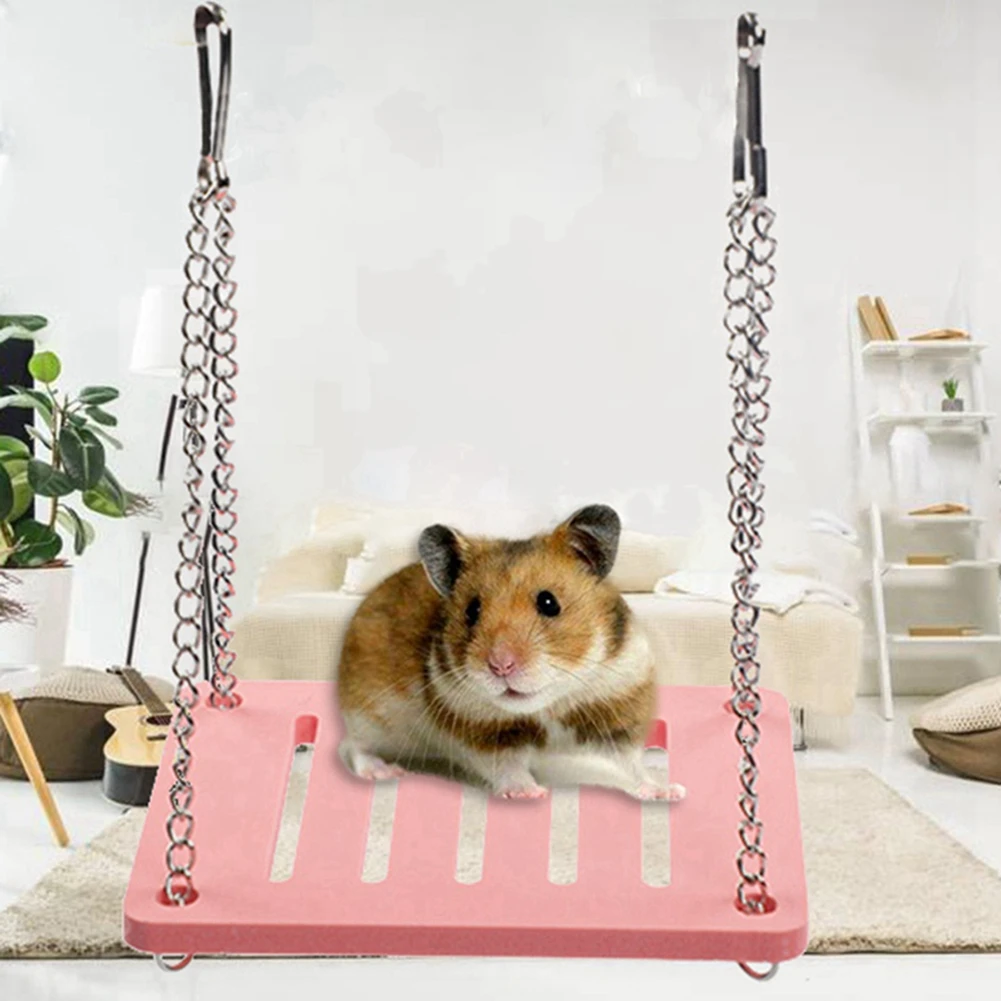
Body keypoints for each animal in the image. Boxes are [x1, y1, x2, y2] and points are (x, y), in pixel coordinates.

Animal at [336, 504, 685, 801]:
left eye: (549, 603)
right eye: (472, 611)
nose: (500, 666)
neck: (547, 706)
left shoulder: (616, 709)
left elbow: (632, 764)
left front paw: (669, 791)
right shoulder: (483, 733)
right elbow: (507, 767)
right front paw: (531, 793)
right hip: (367, 713)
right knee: (352, 746)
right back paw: (383, 772)